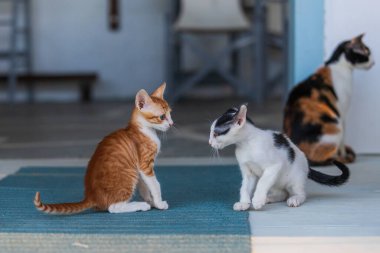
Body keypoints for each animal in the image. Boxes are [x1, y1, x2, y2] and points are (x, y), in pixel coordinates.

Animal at [34, 83, 174, 213]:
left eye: (170, 114)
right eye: (162, 117)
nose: (172, 124)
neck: (146, 130)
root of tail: (92, 196)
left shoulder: (140, 168)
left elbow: (145, 186)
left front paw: (151, 201)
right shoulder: (145, 164)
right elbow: (155, 184)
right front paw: (159, 203)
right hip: (129, 176)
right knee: (113, 207)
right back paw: (140, 205)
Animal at [209, 104, 348, 211]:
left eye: (215, 134)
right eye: (212, 133)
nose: (210, 142)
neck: (246, 144)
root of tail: (307, 165)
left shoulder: (274, 166)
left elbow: (262, 182)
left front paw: (257, 200)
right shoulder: (248, 173)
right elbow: (244, 188)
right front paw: (244, 202)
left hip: (295, 179)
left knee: (300, 194)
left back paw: (294, 199)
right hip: (276, 181)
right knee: (283, 193)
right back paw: (269, 198)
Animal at [282, 33, 374, 165]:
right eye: (367, 53)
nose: (373, 62)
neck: (338, 65)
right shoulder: (342, 111)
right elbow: (343, 141)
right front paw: (343, 154)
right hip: (336, 125)